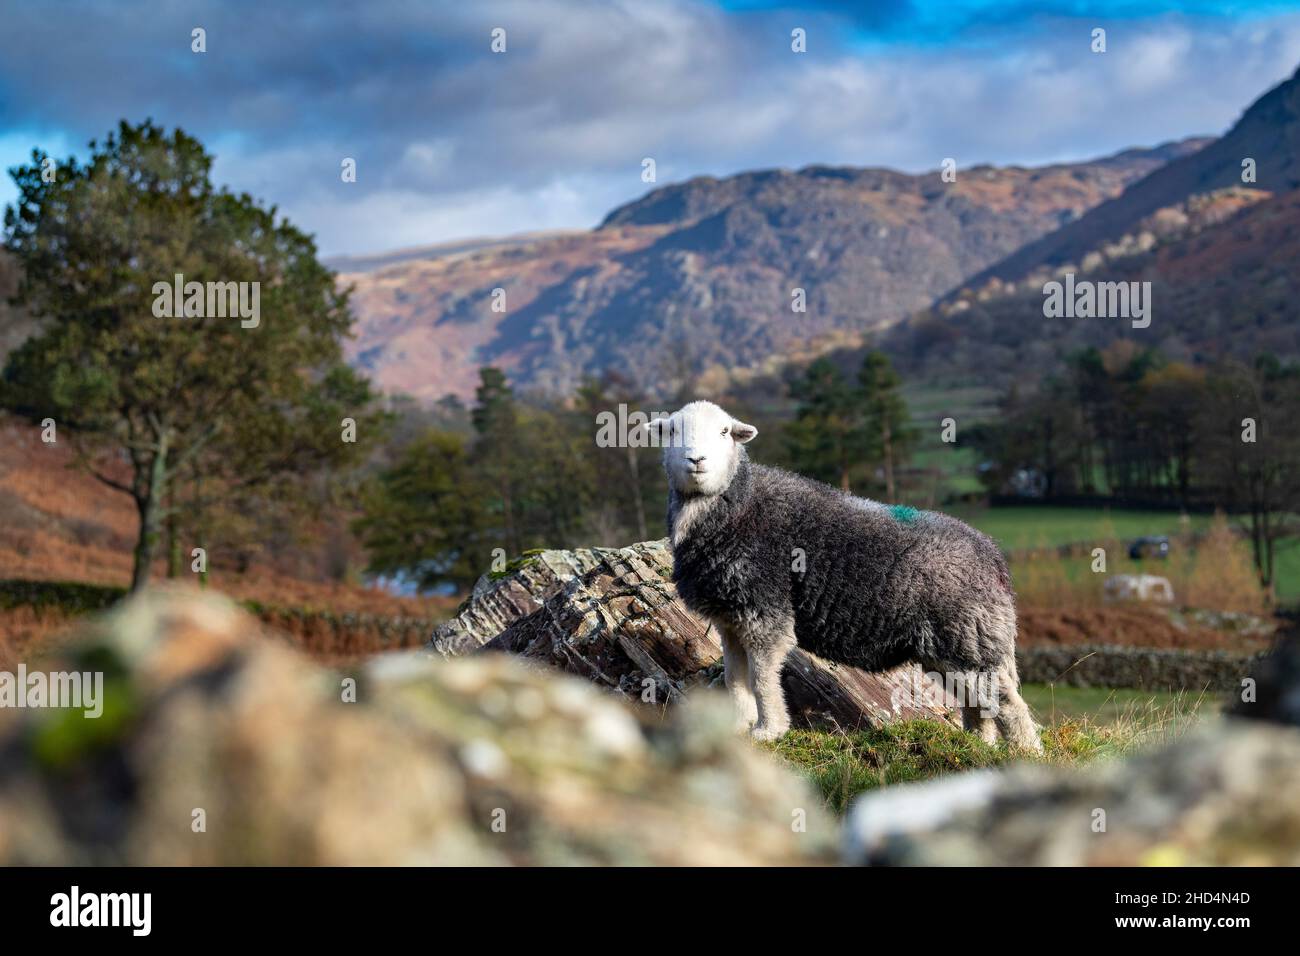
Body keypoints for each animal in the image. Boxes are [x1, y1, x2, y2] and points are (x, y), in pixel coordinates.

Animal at [650, 400, 1045, 749]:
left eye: (724, 432)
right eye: (673, 431)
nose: (697, 460)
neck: (738, 505)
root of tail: (991, 554)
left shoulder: (764, 612)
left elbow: (761, 678)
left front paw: (769, 731)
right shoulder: (729, 618)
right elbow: (736, 679)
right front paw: (738, 727)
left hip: (968, 638)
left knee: (1008, 703)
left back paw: (1026, 752)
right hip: (954, 646)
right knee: (978, 702)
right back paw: (978, 744)